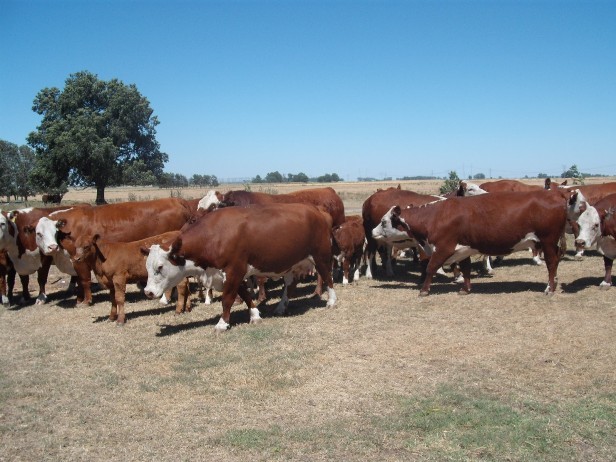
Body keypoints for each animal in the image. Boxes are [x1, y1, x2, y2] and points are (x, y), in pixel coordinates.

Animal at [143, 203, 340, 332]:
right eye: (147, 267)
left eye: (160, 267)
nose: (148, 292)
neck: (215, 235)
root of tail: (316, 210)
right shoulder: (235, 273)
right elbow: (245, 295)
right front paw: (255, 315)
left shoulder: (233, 271)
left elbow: (228, 299)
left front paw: (222, 323)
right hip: (291, 263)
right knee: (290, 285)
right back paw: (281, 307)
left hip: (321, 256)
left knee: (328, 277)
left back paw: (331, 301)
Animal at [370, 190, 568, 296]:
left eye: (384, 222)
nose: (372, 231)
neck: (434, 216)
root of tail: (555, 194)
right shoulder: (463, 250)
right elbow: (465, 269)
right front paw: (465, 289)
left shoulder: (443, 248)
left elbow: (431, 267)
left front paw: (424, 290)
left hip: (548, 241)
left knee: (552, 263)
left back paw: (550, 288)